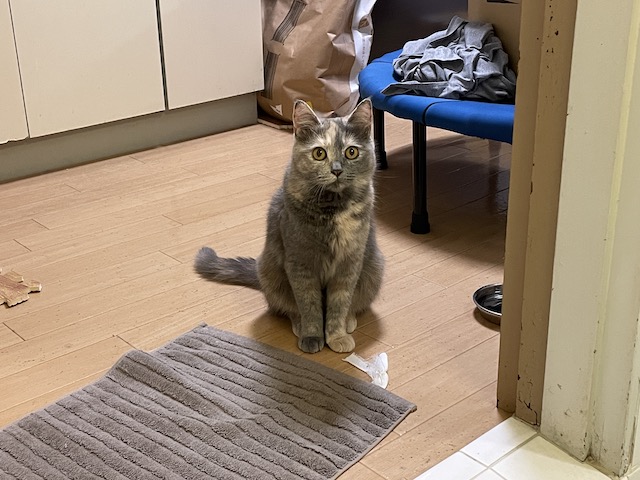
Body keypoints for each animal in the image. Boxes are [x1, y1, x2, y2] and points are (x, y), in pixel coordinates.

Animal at [194, 99, 384, 354]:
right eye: (319, 153)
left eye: (351, 152)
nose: (336, 170)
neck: (332, 208)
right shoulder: (299, 262)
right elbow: (309, 304)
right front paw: (313, 336)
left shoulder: (350, 262)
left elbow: (340, 302)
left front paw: (337, 336)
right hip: (271, 270)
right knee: (288, 307)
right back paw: (299, 325)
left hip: (374, 267)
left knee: (354, 304)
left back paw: (349, 322)